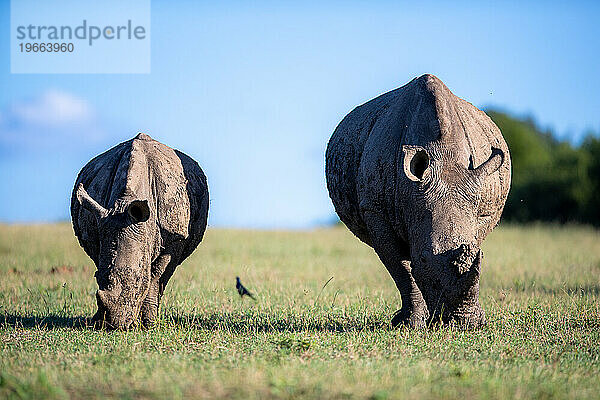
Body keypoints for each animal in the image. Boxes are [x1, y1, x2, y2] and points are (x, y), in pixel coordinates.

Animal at [71, 133, 209, 330]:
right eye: (96, 278)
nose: (113, 324)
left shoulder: (174, 239)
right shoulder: (98, 228)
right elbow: (102, 262)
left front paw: (149, 324)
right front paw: (99, 320)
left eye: (137, 280)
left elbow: (156, 275)